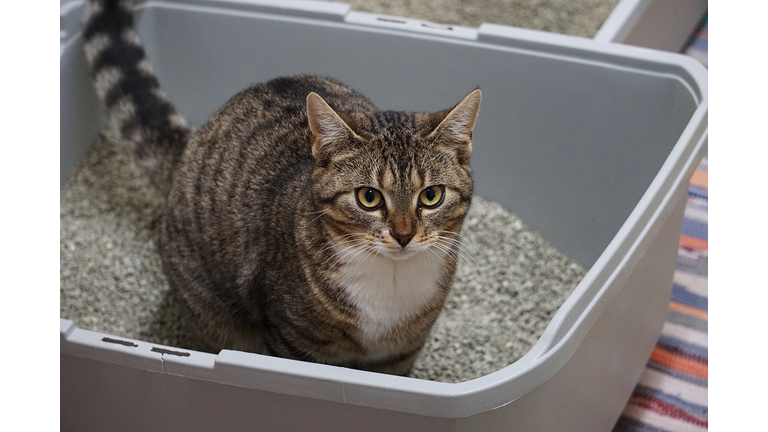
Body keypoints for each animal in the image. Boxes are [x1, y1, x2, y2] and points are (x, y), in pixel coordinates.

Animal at [84, 0, 480, 374]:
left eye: (431, 196)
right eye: (369, 197)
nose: (403, 234)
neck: (390, 285)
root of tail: (191, 145)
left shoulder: (400, 353)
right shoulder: (292, 340)